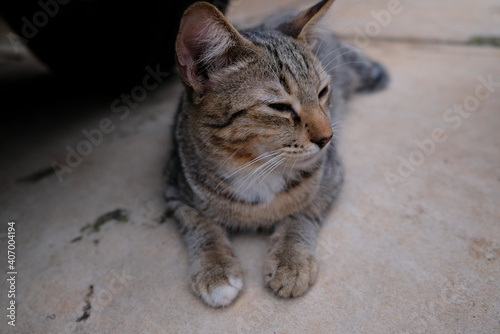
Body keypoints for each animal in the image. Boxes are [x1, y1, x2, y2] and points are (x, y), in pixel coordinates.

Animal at [164, 0, 386, 308]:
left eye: (322, 92)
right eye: (279, 107)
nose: (327, 138)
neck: (255, 167)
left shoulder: (331, 174)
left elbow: (302, 213)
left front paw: (290, 260)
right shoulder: (174, 188)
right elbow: (199, 224)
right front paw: (216, 269)